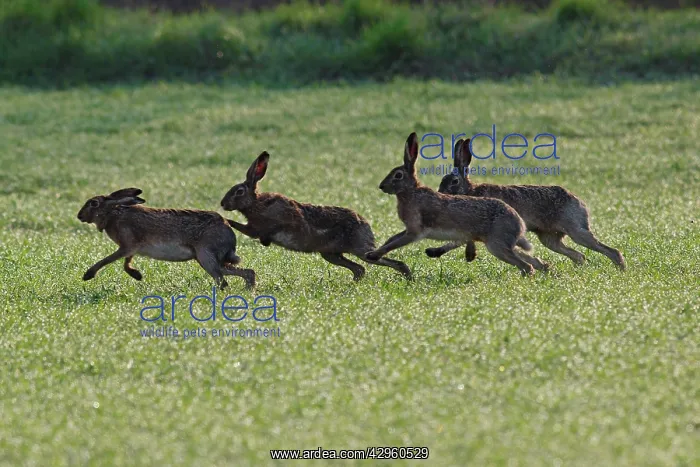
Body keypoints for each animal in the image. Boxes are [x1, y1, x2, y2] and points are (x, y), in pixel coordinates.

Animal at [77, 188, 256, 289]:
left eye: (93, 203)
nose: (79, 216)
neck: (112, 213)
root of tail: (227, 230)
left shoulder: (127, 246)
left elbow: (108, 260)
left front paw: (88, 275)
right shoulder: (131, 248)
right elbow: (126, 264)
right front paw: (137, 275)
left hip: (206, 256)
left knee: (222, 280)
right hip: (204, 259)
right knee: (245, 272)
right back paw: (249, 289)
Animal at [220, 151, 413, 281]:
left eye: (239, 191)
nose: (223, 204)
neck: (256, 203)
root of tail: (365, 223)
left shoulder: (257, 228)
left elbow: (240, 225)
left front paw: (225, 219)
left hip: (360, 250)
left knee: (388, 262)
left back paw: (408, 278)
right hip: (331, 254)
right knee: (359, 269)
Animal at [365, 133, 549, 276]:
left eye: (398, 175)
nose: (381, 186)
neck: (410, 192)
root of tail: (519, 223)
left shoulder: (414, 231)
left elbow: (395, 243)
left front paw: (373, 255)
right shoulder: (408, 228)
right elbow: (392, 239)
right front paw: (372, 253)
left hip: (497, 245)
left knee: (526, 266)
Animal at [429, 138, 626, 270]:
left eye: (454, 182)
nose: (440, 194)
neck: (469, 191)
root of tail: (579, 202)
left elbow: (459, 240)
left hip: (576, 231)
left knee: (609, 250)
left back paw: (621, 268)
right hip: (549, 239)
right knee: (578, 255)